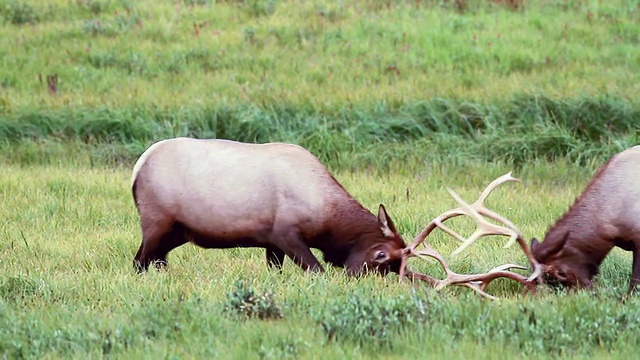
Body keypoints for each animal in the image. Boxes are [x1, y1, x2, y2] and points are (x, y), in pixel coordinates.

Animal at [132, 137, 418, 276]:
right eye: (380, 254)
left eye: (392, 269)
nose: (354, 276)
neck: (326, 220)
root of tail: (138, 167)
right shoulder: (285, 232)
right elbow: (316, 269)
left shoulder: (271, 242)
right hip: (157, 222)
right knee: (139, 261)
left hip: (177, 232)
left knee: (155, 259)